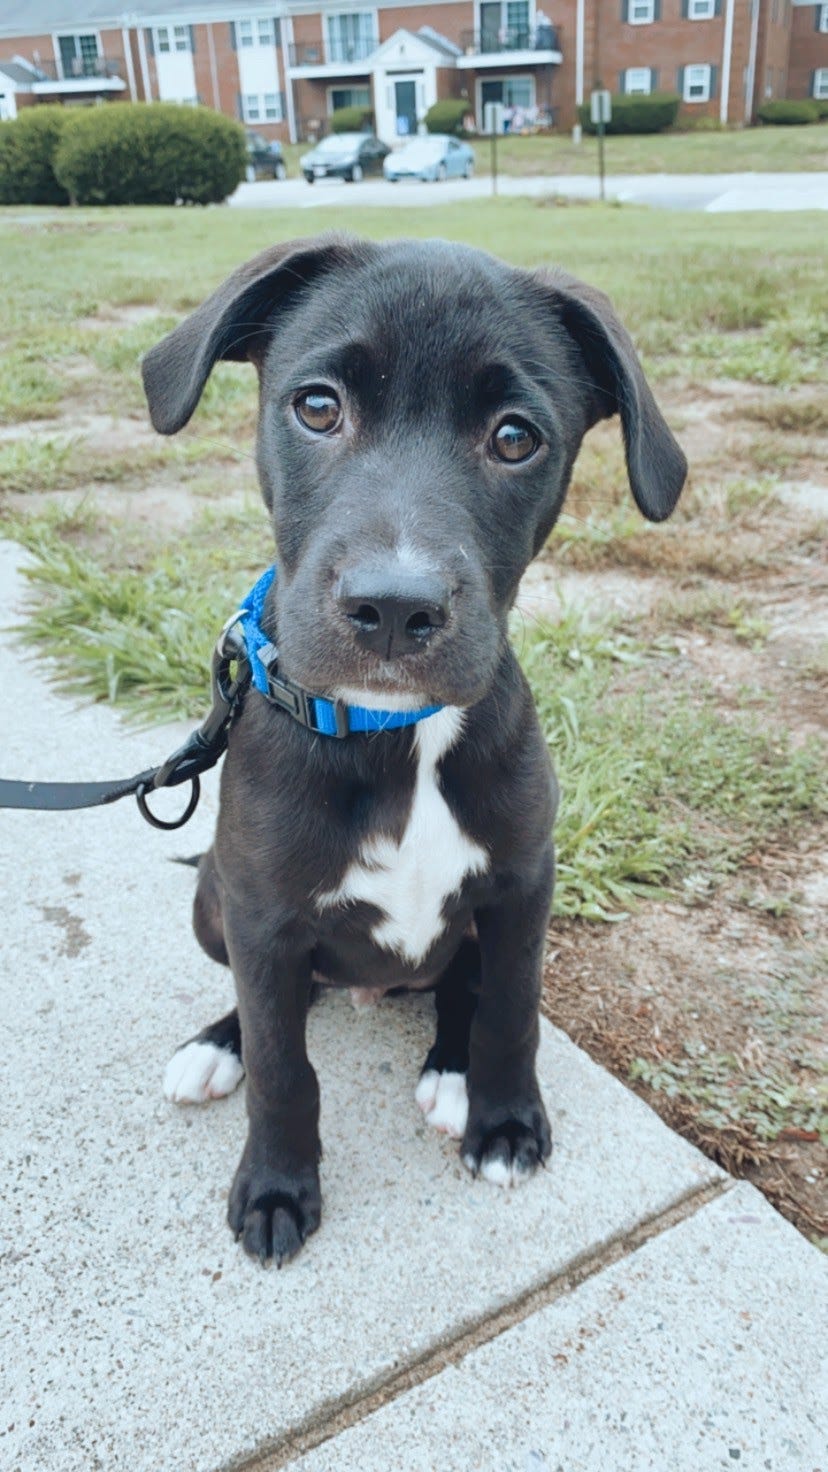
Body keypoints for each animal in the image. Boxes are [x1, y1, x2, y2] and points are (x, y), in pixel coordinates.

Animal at [141, 232, 683, 1265]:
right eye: (318, 407)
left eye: (515, 437)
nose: (394, 608)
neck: (399, 736)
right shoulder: (261, 914)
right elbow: (283, 1064)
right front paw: (276, 1186)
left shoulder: (522, 884)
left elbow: (510, 1009)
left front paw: (503, 1121)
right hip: (209, 902)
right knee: (270, 1005)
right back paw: (216, 1045)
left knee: (457, 988)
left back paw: (450, 1069)